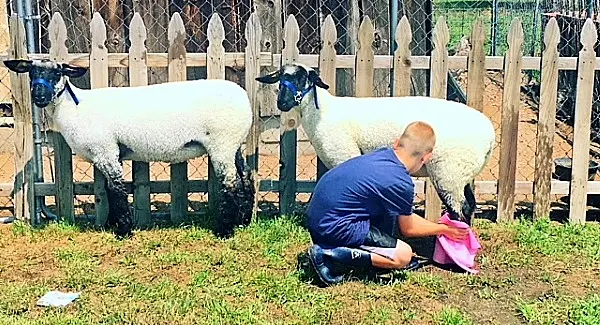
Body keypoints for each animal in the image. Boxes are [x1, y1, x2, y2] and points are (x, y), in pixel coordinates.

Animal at [5, 58, 258, 238]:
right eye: (31, 73)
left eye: (57, 73)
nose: (39, 95)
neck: (75, 108)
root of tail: (244, 98)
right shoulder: (107, 153)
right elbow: (108, 190)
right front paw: (111, 224)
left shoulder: (106, 149)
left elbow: (117, 190)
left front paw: (123, 230)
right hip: (233, 143)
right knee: (245, 177)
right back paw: (243, 221)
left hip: (222, 143)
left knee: (231, 183)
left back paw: (225, 230)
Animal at [258, 62, 496, 224]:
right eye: (280, 80)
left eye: (302, 79)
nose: (282, 103)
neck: (322, 113)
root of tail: (490, 135)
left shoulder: (345, 155)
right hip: (462, 172)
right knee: (469, 206)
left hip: (448, 171)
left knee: (459, 209)